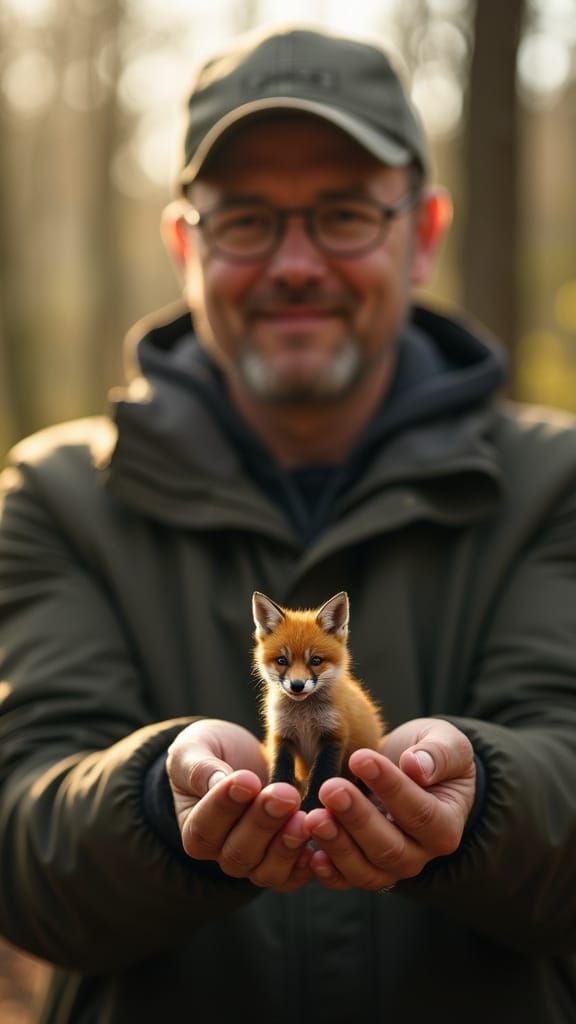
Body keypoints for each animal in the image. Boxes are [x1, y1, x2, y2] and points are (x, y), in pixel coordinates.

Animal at [252, 590, 386, 811]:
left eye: (316, 660)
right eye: (282, 660)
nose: (297, 685)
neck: (303, 717)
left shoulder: (334, 735)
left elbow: (320, 776)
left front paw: (311, 806)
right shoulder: (282, 735)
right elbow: (280, 769)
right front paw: (278, 792)